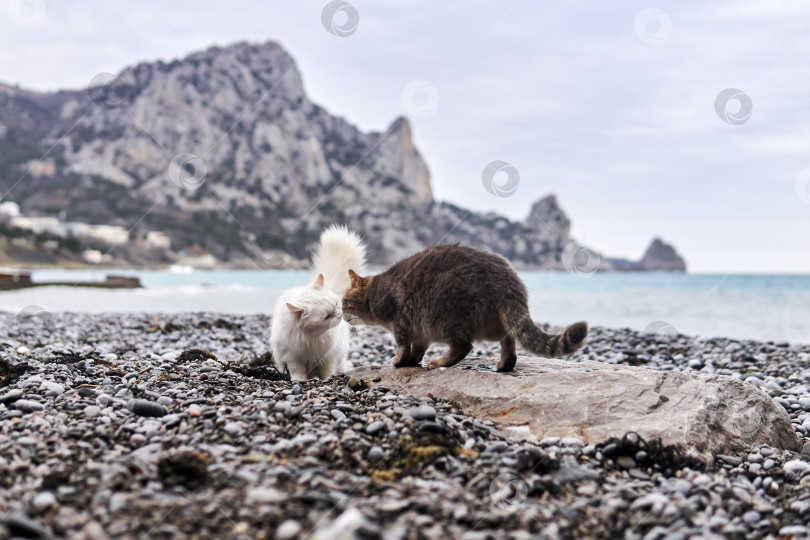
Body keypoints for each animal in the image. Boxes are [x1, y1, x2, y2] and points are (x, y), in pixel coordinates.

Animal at [270, 226, 364, 382]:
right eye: (327, 316)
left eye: (337, 304)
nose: (340, 315)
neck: (311, 339)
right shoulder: (292, 358)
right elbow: (297, 372)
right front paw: (299, 381)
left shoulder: (328, 357)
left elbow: (327, 371)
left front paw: (327, 379)